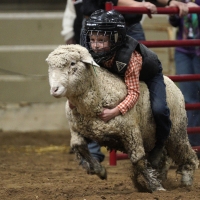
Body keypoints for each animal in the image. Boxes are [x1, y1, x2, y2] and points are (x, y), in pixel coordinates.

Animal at [46, 44, 198, 193]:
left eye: (72, 63)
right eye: (50, 67)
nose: (54, 90)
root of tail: (171, 81)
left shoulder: (131, 131)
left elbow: (138, 160)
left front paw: (155, 186)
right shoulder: (80, 130)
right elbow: (79, 146)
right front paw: (99, 170)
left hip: (176, 132)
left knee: (186, 152)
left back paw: (186, 178)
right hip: (152, 137)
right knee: (164, 157)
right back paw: (160, 175)